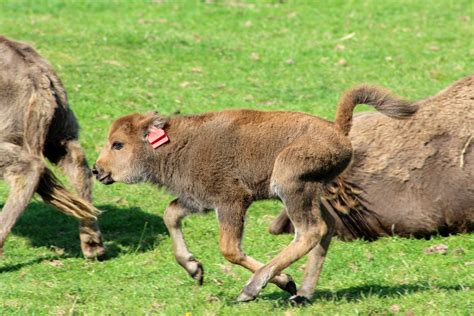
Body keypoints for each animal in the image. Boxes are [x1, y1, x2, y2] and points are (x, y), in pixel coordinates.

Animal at [92, 85, 414, 302]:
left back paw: (255, 288)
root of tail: (337, 130)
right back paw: (302, 294)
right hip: (312, 192)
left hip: (290, 185)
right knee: (326, 228)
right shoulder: (197, 201)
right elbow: (170, 214)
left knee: (310, 231)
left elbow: (230, 248)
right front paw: (194, 269)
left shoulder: (232, 202)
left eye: (118, 144)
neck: (176, 144)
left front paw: (281, 282)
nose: (97, 170)